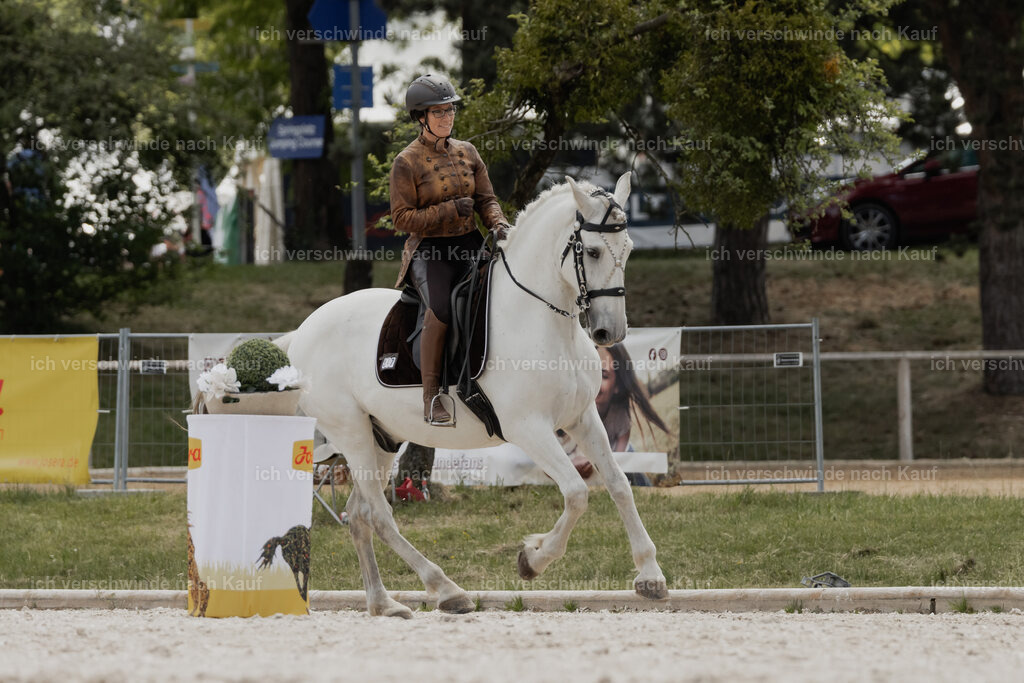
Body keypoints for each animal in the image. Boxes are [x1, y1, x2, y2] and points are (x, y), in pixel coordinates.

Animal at [276, 172, 668, 618]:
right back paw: (445, 589)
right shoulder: (529, 428)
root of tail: (300, 334)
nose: (610, 332)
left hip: (381, 438)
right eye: (596, 251)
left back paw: (384, 603)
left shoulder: (582, 417)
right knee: (378, 514)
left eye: (628, 250)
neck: (542, 319)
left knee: (359, 515)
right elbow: (577, 492)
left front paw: (650, 575)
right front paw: (533, 559)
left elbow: (618, 484)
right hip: (352, 434)